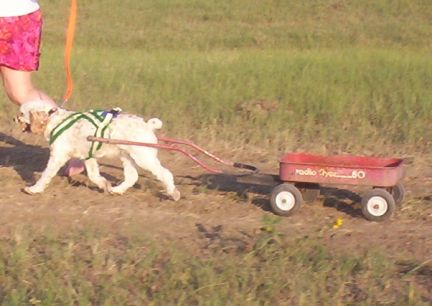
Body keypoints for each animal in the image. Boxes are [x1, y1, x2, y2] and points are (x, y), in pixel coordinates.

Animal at [15, 100, 181, 201]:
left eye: (22, 113)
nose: (14, 118)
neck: (55, 120)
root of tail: (147, 125)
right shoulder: (88, 158)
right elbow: (94, 176)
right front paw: (105, 185)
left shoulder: (58, 156)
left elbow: (46, 174)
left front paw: (34, 189)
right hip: (127, 157)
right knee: (132, 177)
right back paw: (117, 190)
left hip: (143, 157)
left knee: (165, 174)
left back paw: (173, 193)